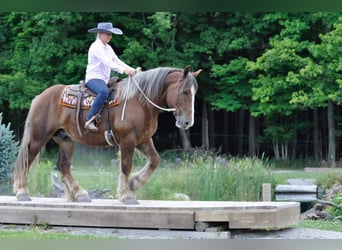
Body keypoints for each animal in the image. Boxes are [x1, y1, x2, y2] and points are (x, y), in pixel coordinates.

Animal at [12, 65, 200, 204]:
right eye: (185, 91)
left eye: (194, 92)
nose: (187, 122)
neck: (140, 102)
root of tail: (40, 96)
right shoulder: (128, 139)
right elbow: (126, 165)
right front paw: (126, 195)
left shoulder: (143, 140)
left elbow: (155, 161)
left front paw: (134, 183)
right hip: (38, 137)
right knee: (27, 159)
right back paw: (22, 192)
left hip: (66, 140)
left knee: (63, 165)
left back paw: (80, 194)